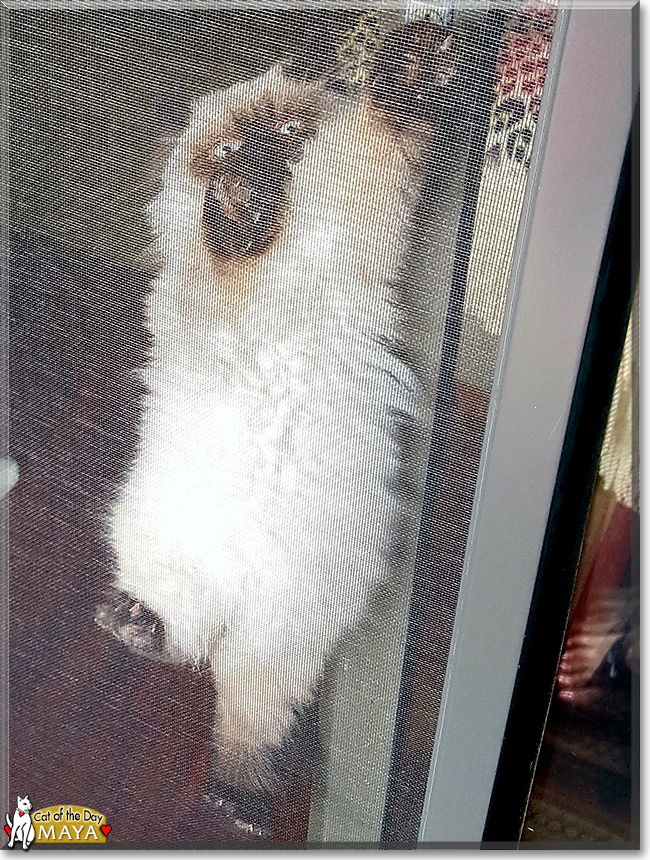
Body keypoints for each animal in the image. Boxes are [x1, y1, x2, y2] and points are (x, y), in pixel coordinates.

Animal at [98, 18, 456, 828]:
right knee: (186, 653)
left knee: (241, 717)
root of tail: (232, 601)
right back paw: (135, 631)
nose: (251, 154)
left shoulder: (340, 199)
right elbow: (218, 219)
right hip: (179, 570)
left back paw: (239, 804)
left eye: (290, 128)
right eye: (246, 142)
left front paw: (412, 57)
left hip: (273, 642)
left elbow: (379, 123)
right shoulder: (227, 245)